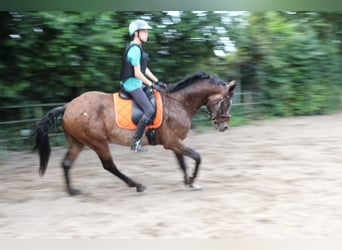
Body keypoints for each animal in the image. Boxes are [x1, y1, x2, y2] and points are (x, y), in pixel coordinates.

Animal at [32, 70, 235, 195]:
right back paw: (137, 185)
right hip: (97, 141)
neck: (178, 103)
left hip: (78, 142)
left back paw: (72, 191)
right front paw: (193, 180)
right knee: (109, 165)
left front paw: (188, 181)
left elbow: (182, 162)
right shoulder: (172, 142)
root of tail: (68, 106)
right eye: (226, 102)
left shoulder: (175, 142)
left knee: (67, 163)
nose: (224, 127)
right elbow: (197, 157)